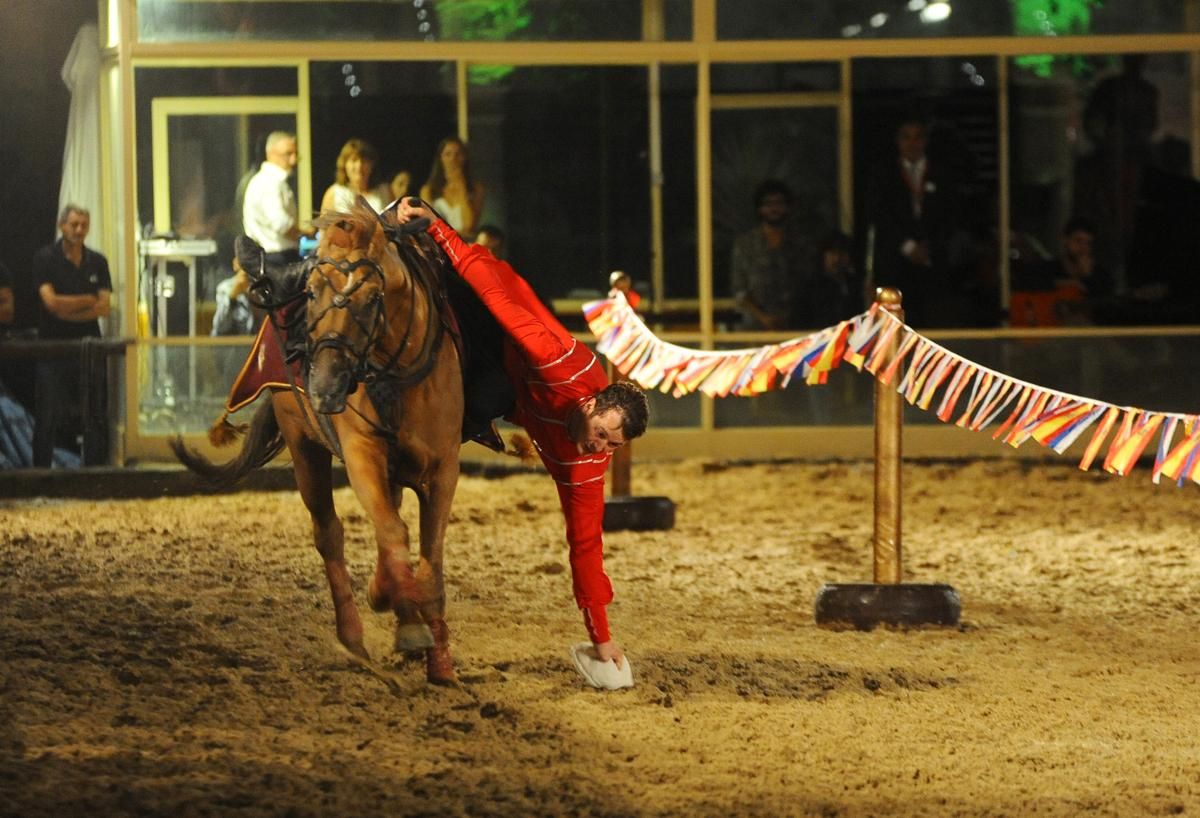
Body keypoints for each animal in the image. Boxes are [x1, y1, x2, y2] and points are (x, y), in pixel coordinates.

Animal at [174, 199, 463, 681]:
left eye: (371, 298)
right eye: (311, 294)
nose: (325, 386)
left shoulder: (442, 469)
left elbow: (429, 558)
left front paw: (437, 655)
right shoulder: (362, 454)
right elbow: (391, 531)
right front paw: (402, 618)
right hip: (303, 445)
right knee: (330, 533)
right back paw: (354, 632)